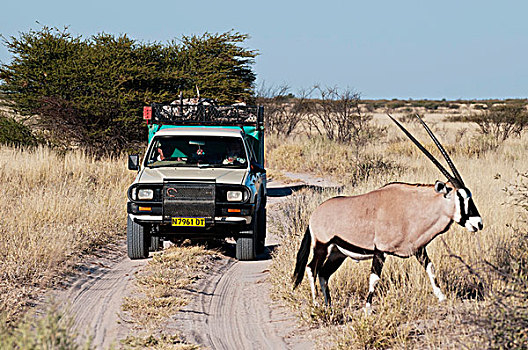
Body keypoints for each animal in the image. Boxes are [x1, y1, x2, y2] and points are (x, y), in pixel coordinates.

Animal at [292, 114, 482, 308]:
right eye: (461, 197)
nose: (478, 223)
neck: (412, 208)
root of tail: (315, 214)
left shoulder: (419, 250)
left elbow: (431, 268)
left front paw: (442, 297)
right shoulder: (380, 251)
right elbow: (374, 279)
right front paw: (368, 308)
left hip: (338, 253)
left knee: (323, 273)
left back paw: (328, 304)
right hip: (321, 246)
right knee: (311, 269)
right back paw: (317, 303)